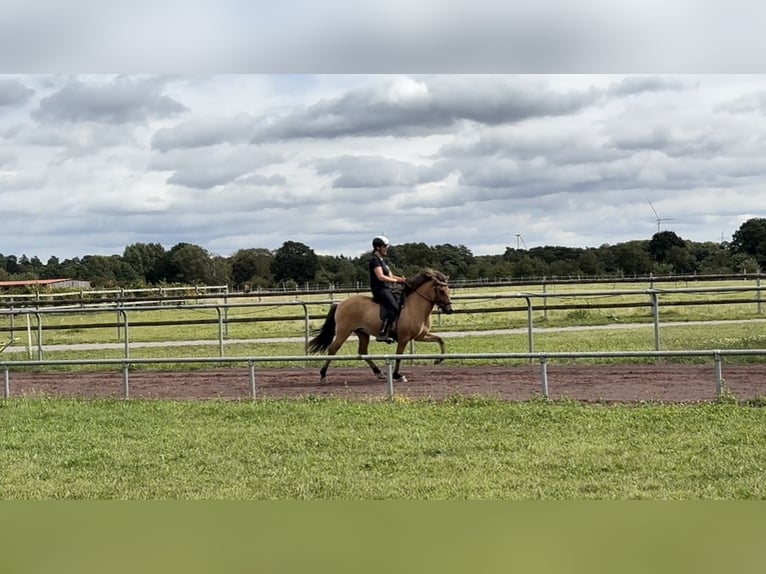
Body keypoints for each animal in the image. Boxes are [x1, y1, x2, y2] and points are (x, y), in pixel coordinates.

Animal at [308, 268, 454, 384]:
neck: (416, 306)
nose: (450, 310)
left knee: (362, 352)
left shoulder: (420, 336)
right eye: (440, 290)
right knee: (333, 350)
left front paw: (438, 361)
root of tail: (340, 304)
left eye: (448, 290)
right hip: (344, 332)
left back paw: (379, 373)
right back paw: (323, 376)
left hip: (362, 333)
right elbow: (399, 356)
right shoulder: (404, 338)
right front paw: (397, 375)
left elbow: (440, 340)